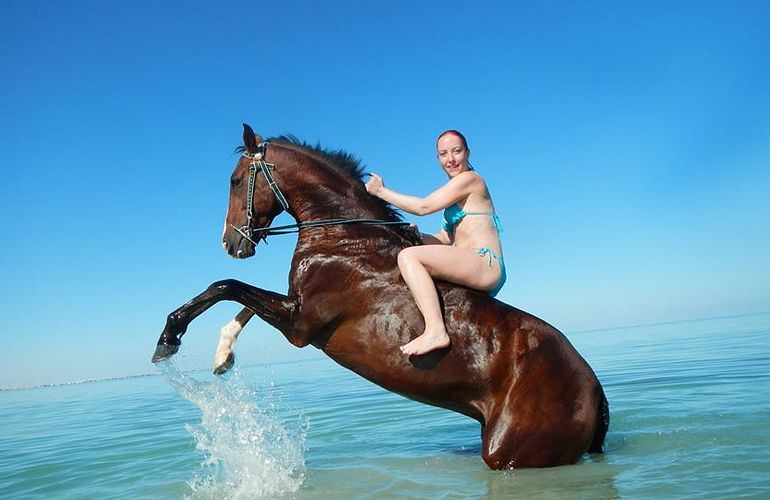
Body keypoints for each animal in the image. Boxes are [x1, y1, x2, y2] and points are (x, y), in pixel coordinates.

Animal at [152, 124, 608, 468]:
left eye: (234, 181)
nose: (230, 243)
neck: (344, 235)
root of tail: (594, 391)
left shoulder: (300, 323)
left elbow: (226, 286)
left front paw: (168, 340)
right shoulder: (293, 306)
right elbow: (239, 301)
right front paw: (222, 356)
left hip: (511, 454)